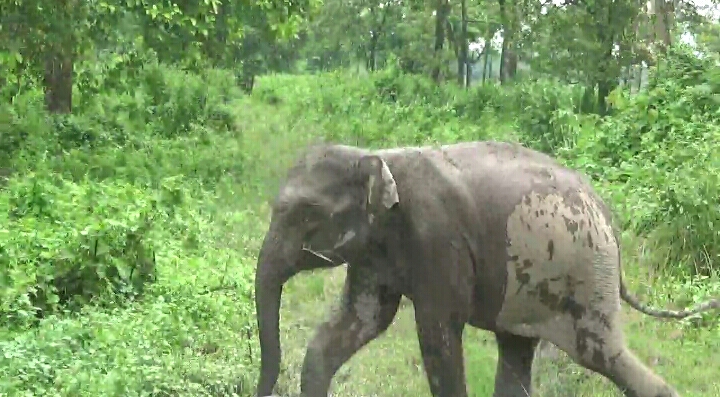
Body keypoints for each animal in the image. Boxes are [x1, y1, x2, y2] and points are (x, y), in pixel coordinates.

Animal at [252, 140, 716, 396]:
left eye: (305, 214)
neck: (375, 154)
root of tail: (608, 214)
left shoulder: (438, 239)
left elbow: (438, 334)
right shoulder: (373, 252)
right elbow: (358, 322)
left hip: (585, 273)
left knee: (600, 353)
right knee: (517, 351)